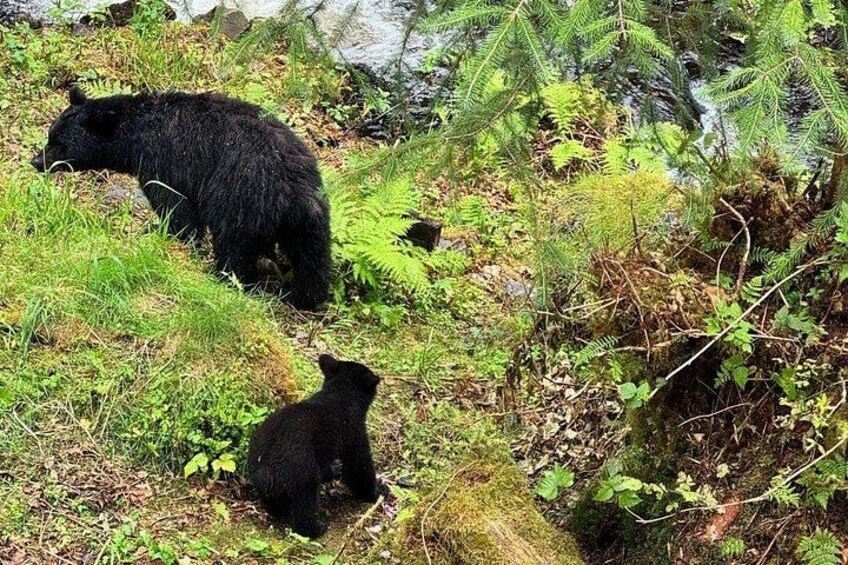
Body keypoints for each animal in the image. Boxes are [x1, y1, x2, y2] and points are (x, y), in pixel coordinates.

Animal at [31, 86, 331, 310]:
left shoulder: (163, 160)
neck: (134, 136)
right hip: (312, 215)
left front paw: (165, 235)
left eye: (59, 143)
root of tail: (294, 190)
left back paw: (223, 277)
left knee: (233, 243)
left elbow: (176, 208)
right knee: (312, 258)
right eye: (51, 134)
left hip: (240, 194)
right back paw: (304, 296)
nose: (36, 161)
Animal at [247, 354, 382, 538]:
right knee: (305, 500)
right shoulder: (353, 430)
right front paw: (378, 491)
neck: (340, 395)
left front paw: (333, 470)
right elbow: (358, 466)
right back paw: (317, 527)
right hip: (299, 468)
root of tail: (265, 471)